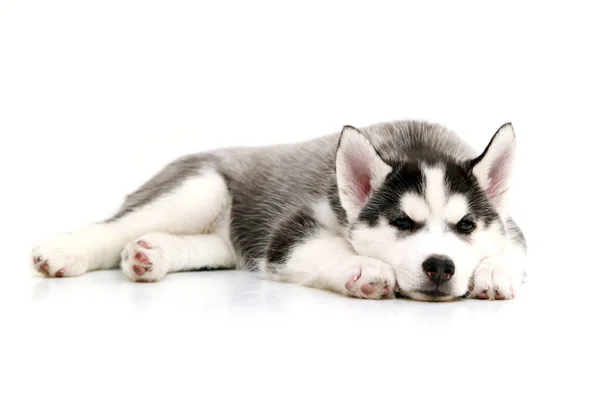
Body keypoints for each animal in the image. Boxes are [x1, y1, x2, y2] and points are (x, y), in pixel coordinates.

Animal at [32, 120, 524, 302]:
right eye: (403, 222)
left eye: (466, 225)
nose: (440, 266)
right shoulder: (289, 232)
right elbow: (328, 249)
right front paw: (364, 269)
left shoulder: (511, 227)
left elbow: (510, 252)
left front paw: (494, 272)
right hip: (200, 188)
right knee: (112, 226)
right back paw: (62, 253)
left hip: (224, 240)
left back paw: (149, 255)